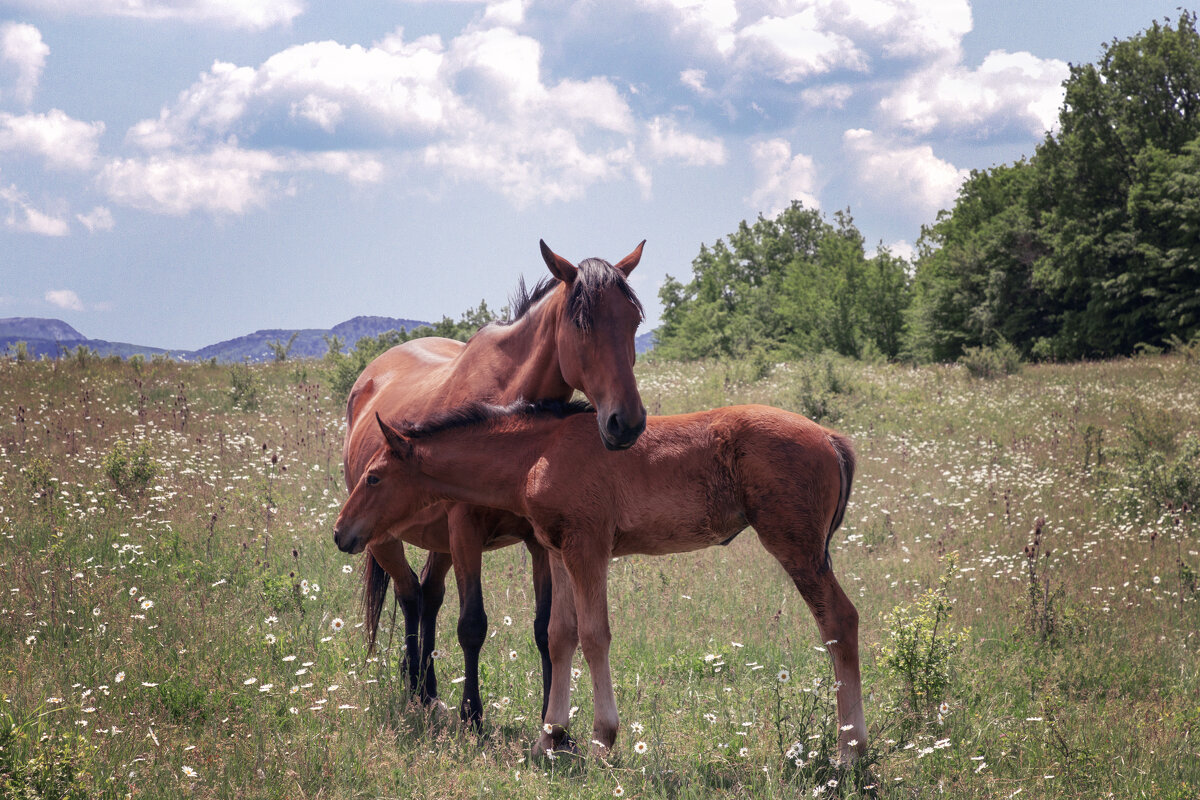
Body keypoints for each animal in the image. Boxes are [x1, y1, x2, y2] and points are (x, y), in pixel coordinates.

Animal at [333, 400, 868, 762]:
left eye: (375, 476)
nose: (341, 532)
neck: (540, 453)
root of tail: (831, 438)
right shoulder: (556, 552)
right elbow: (558, 636)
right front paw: (548, 737)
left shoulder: (587, 548)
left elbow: (594, 637)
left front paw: (601, 739)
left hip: (796, 547)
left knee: (840, 620)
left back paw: (850, 751)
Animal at [343, 241, 648, 724]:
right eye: (581, 324)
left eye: (633, 320)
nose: (628, 423)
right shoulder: (465, 532)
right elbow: (473, 624)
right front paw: (472, 713)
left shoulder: (540, 541)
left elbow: (546, 629)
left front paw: (551, 718)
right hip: (382, 537)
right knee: (410, 595)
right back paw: (415, 687)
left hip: (438, 541)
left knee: (429, 593)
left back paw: (429, 691)